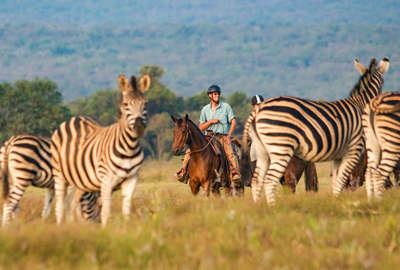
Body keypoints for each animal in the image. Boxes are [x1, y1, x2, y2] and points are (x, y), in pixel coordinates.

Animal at [50, 74, 150, 226]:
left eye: (145, 104)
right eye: (125, 104)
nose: (139, 127)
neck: (129, 147)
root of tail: (74, 119)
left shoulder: (132, 178)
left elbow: (126, 209)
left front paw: (126, 228)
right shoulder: (106, 180)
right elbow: (106, 211)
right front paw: (105, 230)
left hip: (79, 180)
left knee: (71, 203)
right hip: (59, 174)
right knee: (60, 204)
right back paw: (61, 226)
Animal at [242, 57, 390, 205]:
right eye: (383, 83)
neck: (359, 104)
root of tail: (258, 108)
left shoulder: (340, 155)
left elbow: (336, 181)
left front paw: (335, 202)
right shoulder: (353, 149)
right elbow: (341, 179)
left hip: (265, 151)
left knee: (259, 181)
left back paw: (260, 206)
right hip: (281, 149)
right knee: (270, 181)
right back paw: (273, 207)